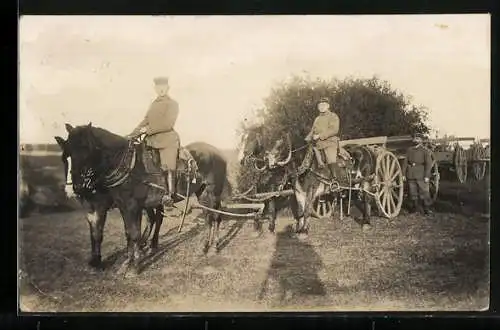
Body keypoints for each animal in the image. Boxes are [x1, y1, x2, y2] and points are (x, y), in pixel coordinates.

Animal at [55, 122, 231, 274]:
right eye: (65, 156)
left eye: (86, 151)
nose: (74, 188)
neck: (127, 167)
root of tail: (218, 153)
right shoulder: (118, 207)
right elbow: (119, 233)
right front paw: (124, 262)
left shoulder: (125, 206)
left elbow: (132, 234)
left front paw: (134, 266)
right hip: (201, 194)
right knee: (206, 218)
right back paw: (202, 247)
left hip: (213, 193)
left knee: (215, 217)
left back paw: (214, 247)